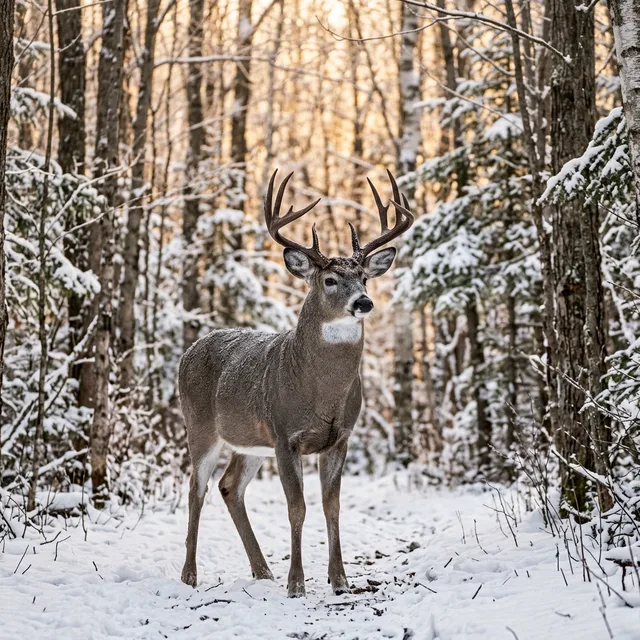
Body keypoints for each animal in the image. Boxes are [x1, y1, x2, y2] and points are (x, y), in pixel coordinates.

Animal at [179, 169, 414, 598]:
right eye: (330, 279)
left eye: (364, 277)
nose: (364, 302)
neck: (320, 391)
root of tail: (190, 350)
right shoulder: (285, 434)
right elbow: (297, 507)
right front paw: (297, 584)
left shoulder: (340, 437)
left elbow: (331, 506)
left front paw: (340, 581)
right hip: (200, 426)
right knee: (196, 489)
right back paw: (190, 576)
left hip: (251, 442)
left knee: (229, 486)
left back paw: (262, 571)